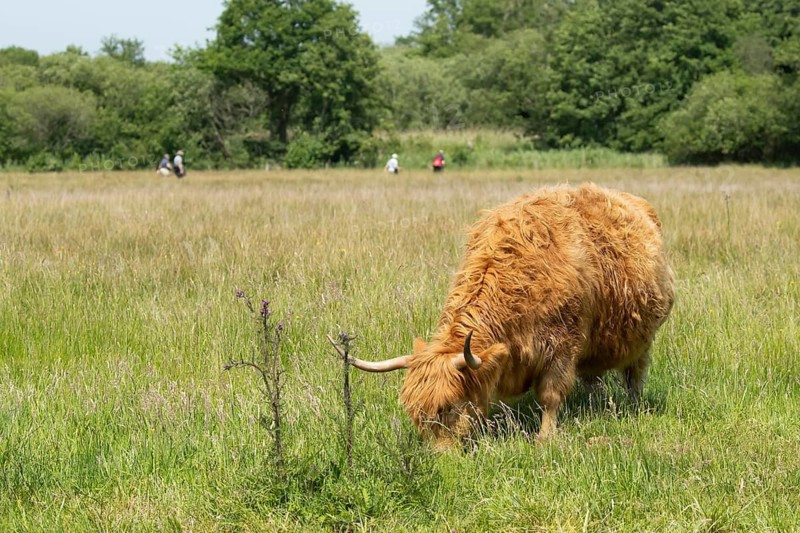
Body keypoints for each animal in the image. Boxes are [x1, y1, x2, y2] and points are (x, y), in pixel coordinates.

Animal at [343, 183, 675, 449]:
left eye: (447, 408)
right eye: (416, 415)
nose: (440, 457)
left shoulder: (563, 346)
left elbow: (550, 395)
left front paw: (545, 438)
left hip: (643, 339)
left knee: (635, 374)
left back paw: (633, 406)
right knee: (594, 379)